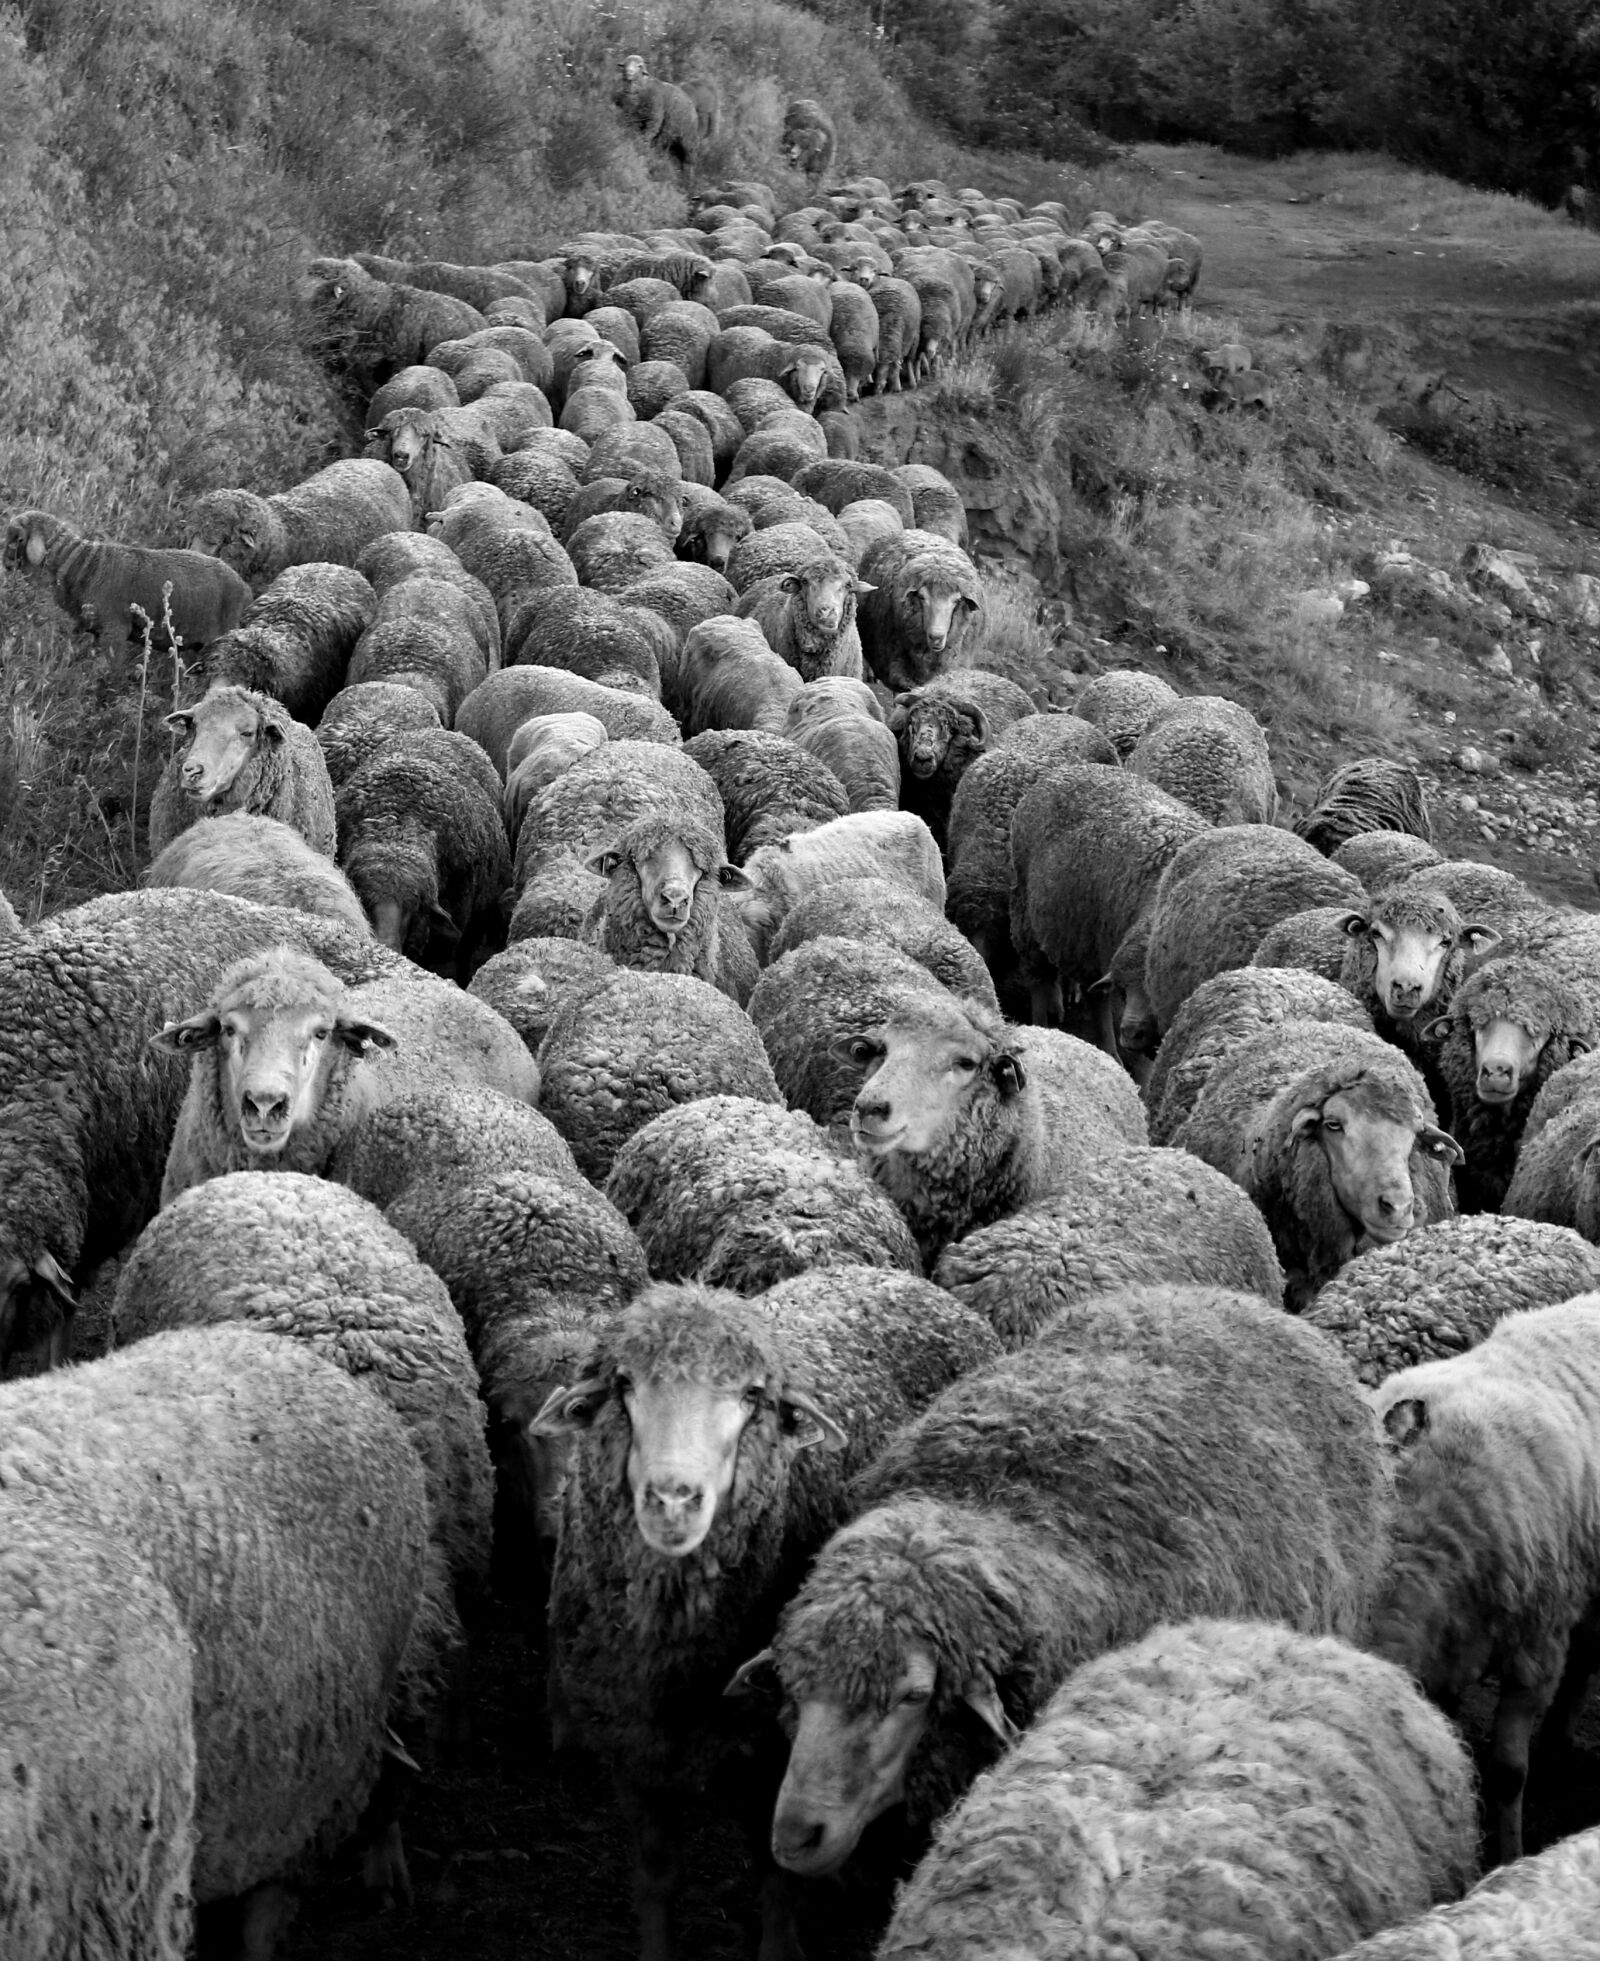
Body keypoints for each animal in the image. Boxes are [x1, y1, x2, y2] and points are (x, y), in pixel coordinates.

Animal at [4, 509, 250, 648]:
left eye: (17, 538)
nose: (5, 565)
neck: (84, 564)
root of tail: (244, 586)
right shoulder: (86, 626)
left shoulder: (115, 630)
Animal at [535, 1268, 998, 1961]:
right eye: (623, 1384)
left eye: (752, 1395)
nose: (674, 1500)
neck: (674, 1662)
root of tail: (891, 1275)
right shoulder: (634, 1749)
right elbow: (656, 1877)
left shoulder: (779, 1751)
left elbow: (778, 1879)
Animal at [1008, 762, 1209, 1038]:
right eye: (1125, 987)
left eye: (1154, 989)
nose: (1131, 1031)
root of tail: (1064, 769)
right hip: (1028, 920)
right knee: (1041, 981)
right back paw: (1045, 1024)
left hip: (1081, 938)